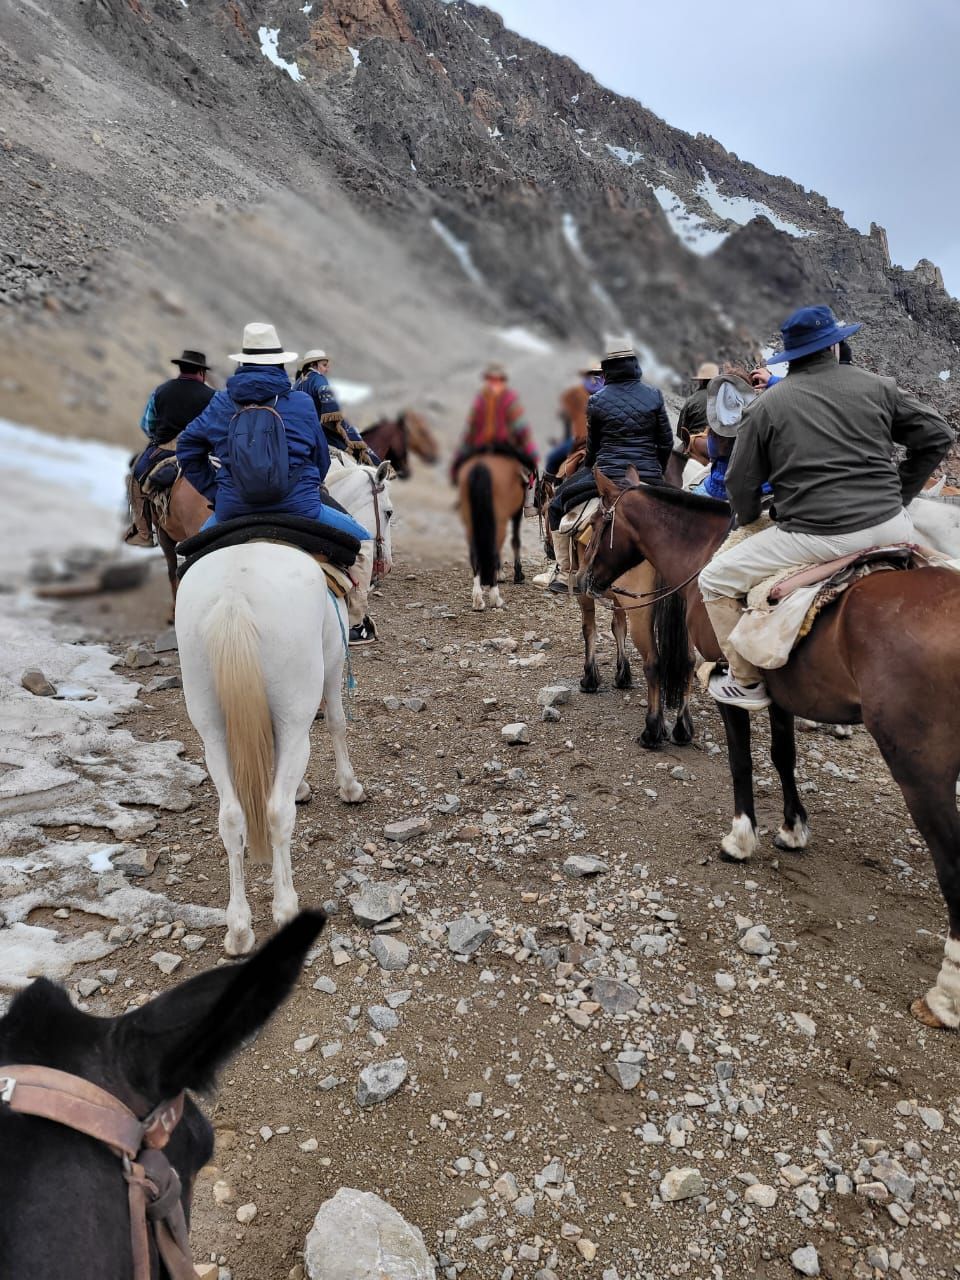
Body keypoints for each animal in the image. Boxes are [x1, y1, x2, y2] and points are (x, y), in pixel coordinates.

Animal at [176, 541, 365, 956]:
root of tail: (233, 597)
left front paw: (303, 788)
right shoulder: (332, 665)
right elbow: (337, 721)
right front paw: (349, 788)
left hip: (212, 732)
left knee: (231, 818)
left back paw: (239, 929)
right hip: (295, 719)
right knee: (277, 812)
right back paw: (286, 907)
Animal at [457, 453, 526, 611]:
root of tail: (481, 467)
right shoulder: (517, 511)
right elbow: (515, 541)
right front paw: (517, 575)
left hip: (471, 522)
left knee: (475, 555)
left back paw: (478, 600)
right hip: (499, 520)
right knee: (494, 550)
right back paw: (495, 598)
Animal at [536, 471, 694, 745]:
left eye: (545, 511)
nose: (547, 547)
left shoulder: (585, 594)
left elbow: (589, 630)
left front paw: (590, 679)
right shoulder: (619, 600)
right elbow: (617, 627)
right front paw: (623, 675)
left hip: (640, 610)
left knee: (653, 661)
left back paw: (652, 731)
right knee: (689, 661)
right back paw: (682, 728)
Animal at [579, 466, 960, 1030]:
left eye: (599, 525)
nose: (583, 579)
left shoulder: (726, 681)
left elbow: (742, 762)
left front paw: (741, 839)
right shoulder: (780, 693)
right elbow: (783, 758)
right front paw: (792, 829)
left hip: (923, 772)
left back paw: (944, 996)